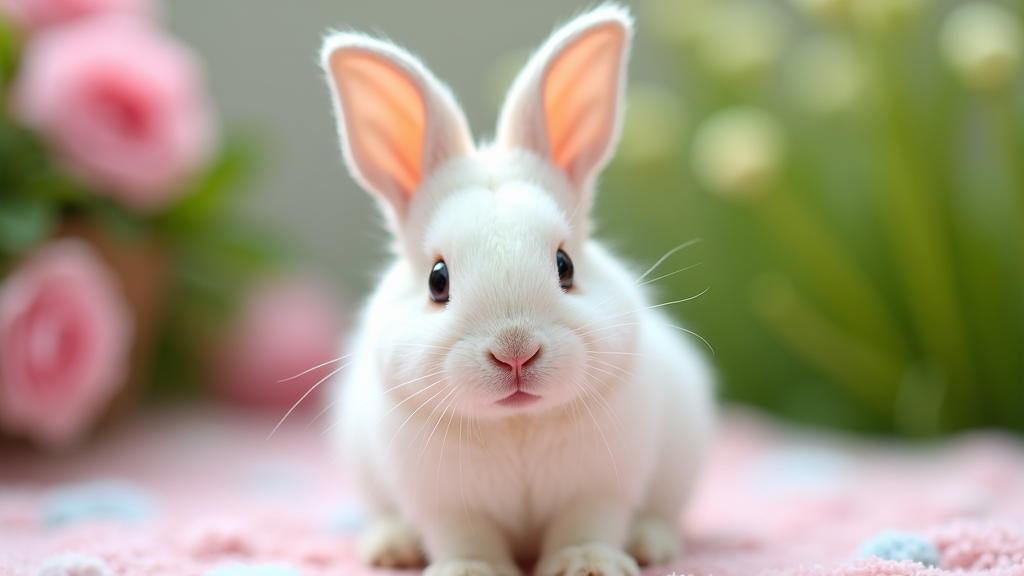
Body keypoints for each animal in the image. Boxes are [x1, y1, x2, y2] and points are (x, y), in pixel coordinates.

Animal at [319, 5, 712, 573]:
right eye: (438, 280)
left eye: (565, 265)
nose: (515, 352)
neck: (517, 424)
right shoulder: (446, 503)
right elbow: (466, 538)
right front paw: (468, 570)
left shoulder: (598, 488)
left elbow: (585, 525)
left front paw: (588, 563)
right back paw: (389, 548)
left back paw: (649, 543)